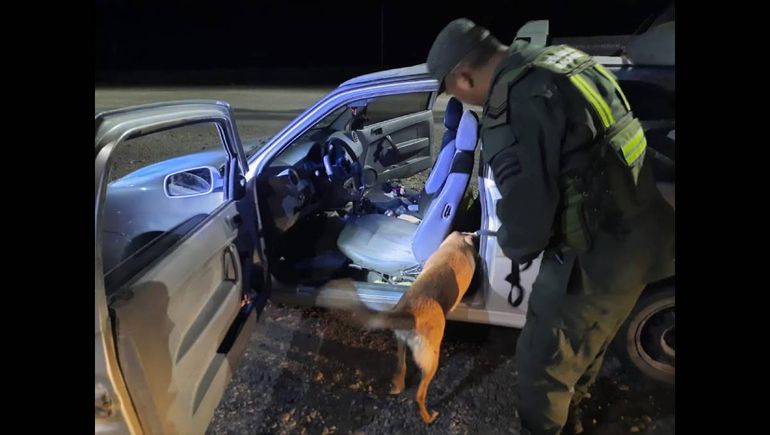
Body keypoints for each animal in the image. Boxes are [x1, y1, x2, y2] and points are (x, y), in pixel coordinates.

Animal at [334, 232, 476, 426]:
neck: (455, 245)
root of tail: (408, 312)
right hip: (431, 358)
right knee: (419, 395)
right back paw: (428, 417)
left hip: (401, 344)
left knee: (401, 369)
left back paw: (398, 388)